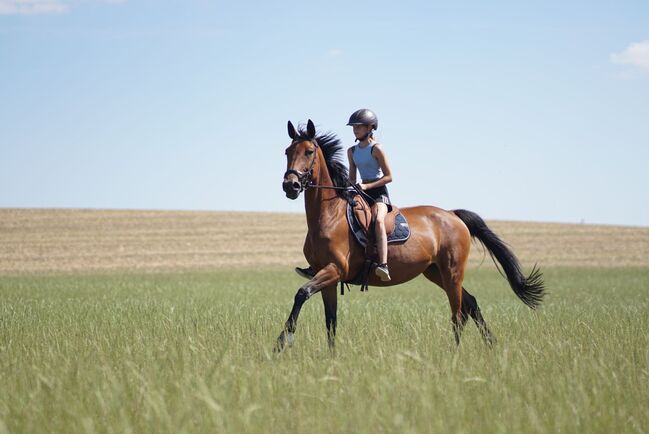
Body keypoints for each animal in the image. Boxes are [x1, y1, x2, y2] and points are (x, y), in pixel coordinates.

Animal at [276, 120, 544, 350]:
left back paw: (456, 351)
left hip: (452, 272)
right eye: (288, 151)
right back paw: (490, 343)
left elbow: (301, 294)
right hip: (435, 272)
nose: (291, 186)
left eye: (309, 151)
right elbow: (330, 320)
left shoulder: (334, 270)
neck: (329, 216)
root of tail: (453, 215)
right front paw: (331, 357)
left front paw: (283, 340)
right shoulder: (328, 277)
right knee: (471, 303)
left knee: (458, 312)